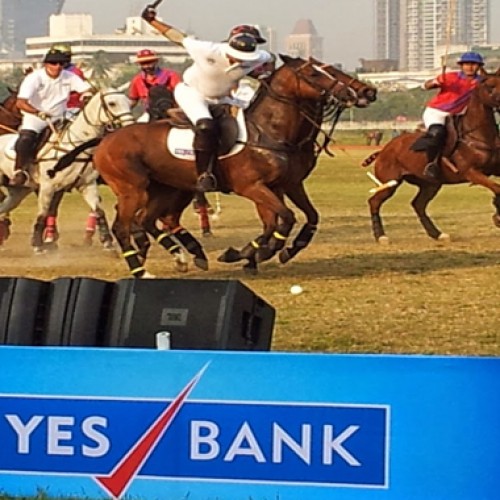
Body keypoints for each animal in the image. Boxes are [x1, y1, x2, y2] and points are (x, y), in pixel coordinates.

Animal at [0, 87, 135, 254]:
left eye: (128, 102)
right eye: (112, 103)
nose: (130, 124)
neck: (76, 147)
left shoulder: (87, 185)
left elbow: (98, 210)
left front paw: (107, 242)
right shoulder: (48, 187)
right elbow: (44, 213)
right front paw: (40, 244)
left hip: (18, 192)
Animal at [362, 70, 500, 242]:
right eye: (490, 86)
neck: (478, 135)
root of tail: (384, 149)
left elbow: (497, 188)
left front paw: (497, 215)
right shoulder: (471, 172)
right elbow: (497, 188)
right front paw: (497, 218)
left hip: (430, 184)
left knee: (418, 204)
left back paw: (438, 234)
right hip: (389, 182)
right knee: (374, 202)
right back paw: (381, 236)